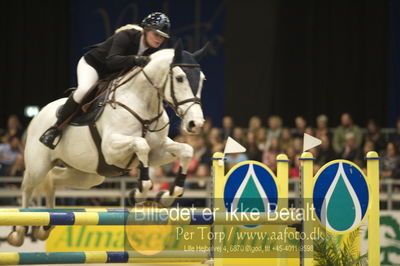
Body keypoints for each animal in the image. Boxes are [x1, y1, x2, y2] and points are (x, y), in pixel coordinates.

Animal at [7, 40, 208, 246]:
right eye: (180, 78)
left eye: (202, 80)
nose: (196, 123)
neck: (142, 102)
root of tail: (38, 114)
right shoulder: (111, 149)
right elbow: (141, 146)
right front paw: (137, 193)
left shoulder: (158, 151)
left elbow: (187, 150)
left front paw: (167, 195)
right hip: (38, 167)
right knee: (27, 187)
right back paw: (19, 232)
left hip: (89, 175)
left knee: (54, 178)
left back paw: (47, 225)